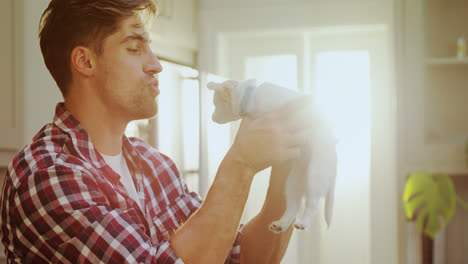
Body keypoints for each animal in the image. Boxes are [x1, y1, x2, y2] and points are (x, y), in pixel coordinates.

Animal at [207, 78, 336, 233]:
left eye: (216, 105)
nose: (212, 118)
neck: (251, 96)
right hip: (293, 184)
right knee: (294, 207)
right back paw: (281, 224)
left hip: (314, 176)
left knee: (313, 204)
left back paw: (303, 222)